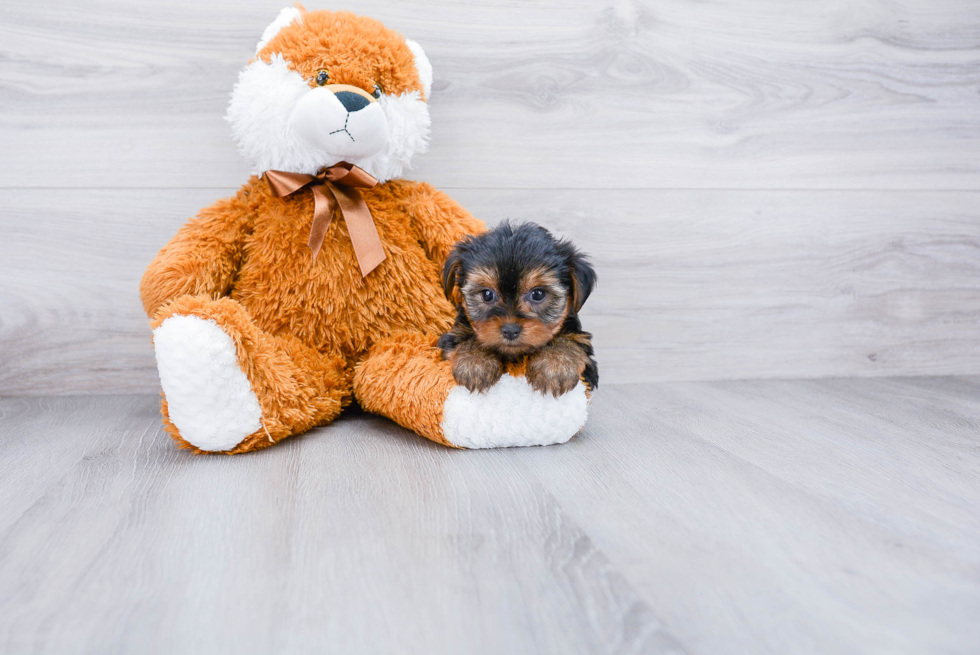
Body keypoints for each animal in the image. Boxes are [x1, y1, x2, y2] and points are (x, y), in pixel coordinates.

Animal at [438, 220, 596, 398]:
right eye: (487, 294)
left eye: (538, 294)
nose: (510, 330)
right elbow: (466, 337)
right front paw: (474, 361)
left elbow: (571, 339)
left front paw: (556, 364)